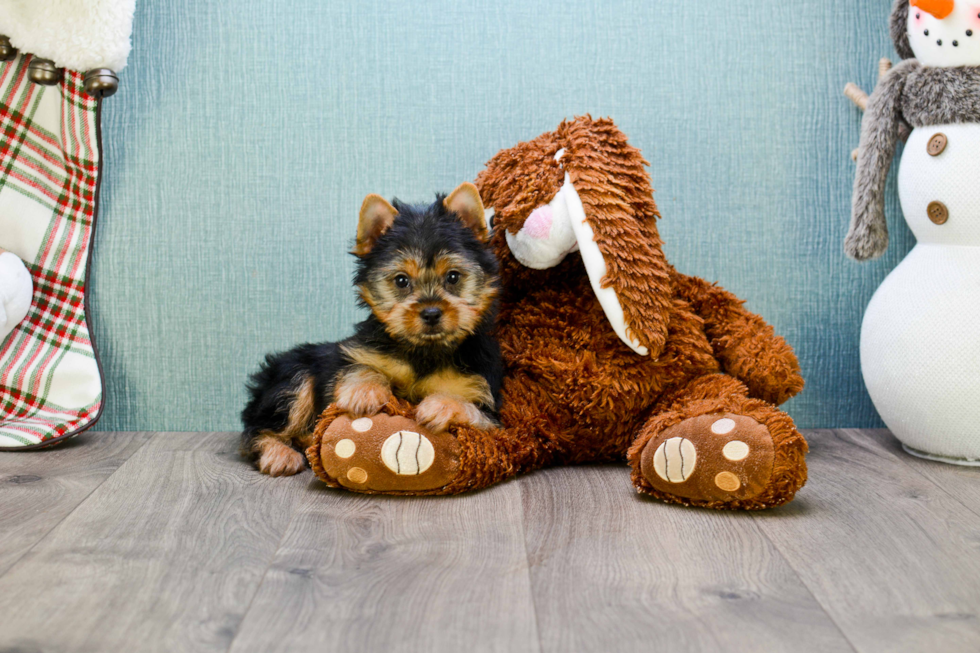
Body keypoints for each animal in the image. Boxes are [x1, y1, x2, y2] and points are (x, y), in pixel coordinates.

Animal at [244, 182, 502, 474]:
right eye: (401, 281)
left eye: (453, 277)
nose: (431, 313)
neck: (422, 350)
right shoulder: (354, 354)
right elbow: (359, 367)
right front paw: (364, 392)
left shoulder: (487, 402)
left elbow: (476, 413)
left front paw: (442, 406)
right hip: (292, 374)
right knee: (260, 425)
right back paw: (279, 453)